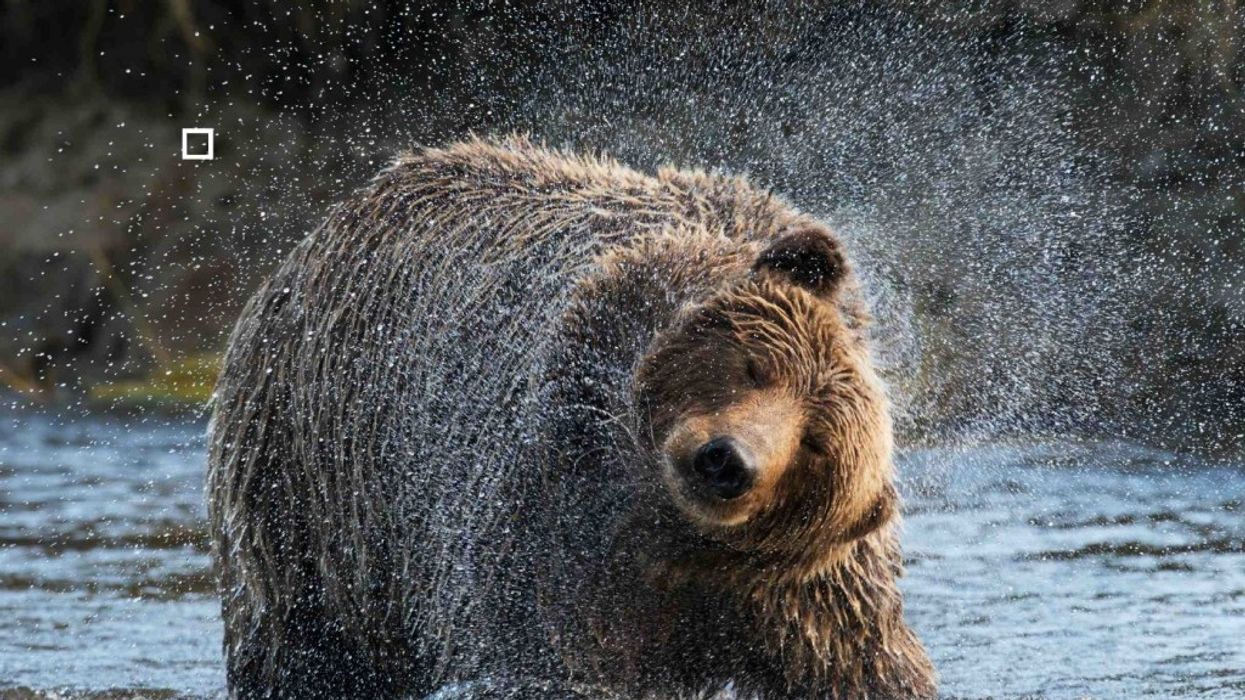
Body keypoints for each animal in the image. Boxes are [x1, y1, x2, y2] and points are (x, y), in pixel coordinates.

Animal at [207, 135, 935, 700]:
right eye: (756, 365)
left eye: (813, 445)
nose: (726, 460)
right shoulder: (552, 511)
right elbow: (539, 654)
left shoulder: (810, 595)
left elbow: (868, 666)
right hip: (314, 471)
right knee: (301, 641)